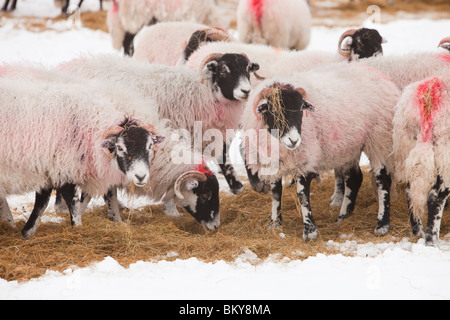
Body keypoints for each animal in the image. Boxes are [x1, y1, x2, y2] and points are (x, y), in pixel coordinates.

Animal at [0, 77, 162, 238]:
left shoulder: (49, 170)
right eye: (120, 147)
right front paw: (77, 227)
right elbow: (72, 204)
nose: (141, 176)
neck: (88, 128)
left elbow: (42, 202)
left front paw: (27, 232)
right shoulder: (63, 169)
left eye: (149, 146)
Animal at [241, 62, 402, 241]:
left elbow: (302, 195)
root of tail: (383, 78)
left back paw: (382, 225)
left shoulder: (305, 160)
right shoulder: (273, 162)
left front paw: (310, 231)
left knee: (383, 180)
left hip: (379, 139)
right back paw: (342, 217)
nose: (294, 140)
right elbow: (276, 194)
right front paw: (274, 224)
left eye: (300, 109)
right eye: (273, 111)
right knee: (354, 178)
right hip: (349, 146)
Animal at [392, 74, 448, 246]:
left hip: (406, 146)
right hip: (444, 153)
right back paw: (431, 240)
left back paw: (417, 232)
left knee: (410, 192)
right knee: (436, 197)